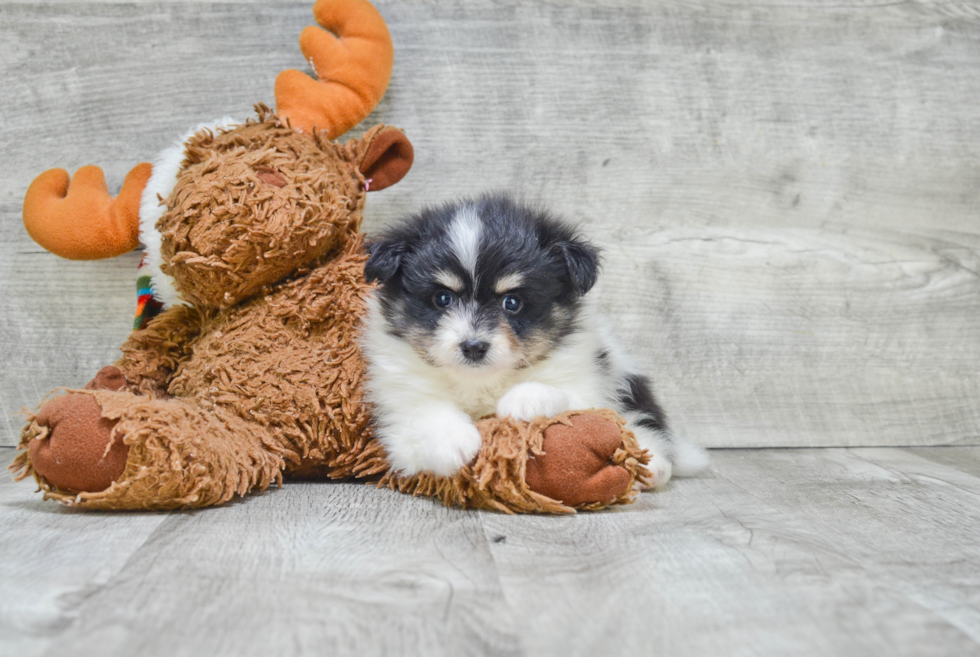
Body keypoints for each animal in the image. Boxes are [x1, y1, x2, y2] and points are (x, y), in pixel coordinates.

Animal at [358, 192, 704, 484]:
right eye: (443, 298)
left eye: (512, 303)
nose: (473, 347)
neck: (480, 383)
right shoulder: (398, 407)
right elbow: (423, 412)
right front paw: (454, 443)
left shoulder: (587, 380)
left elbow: (570, 398)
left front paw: (525, 401)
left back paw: (655, 466)